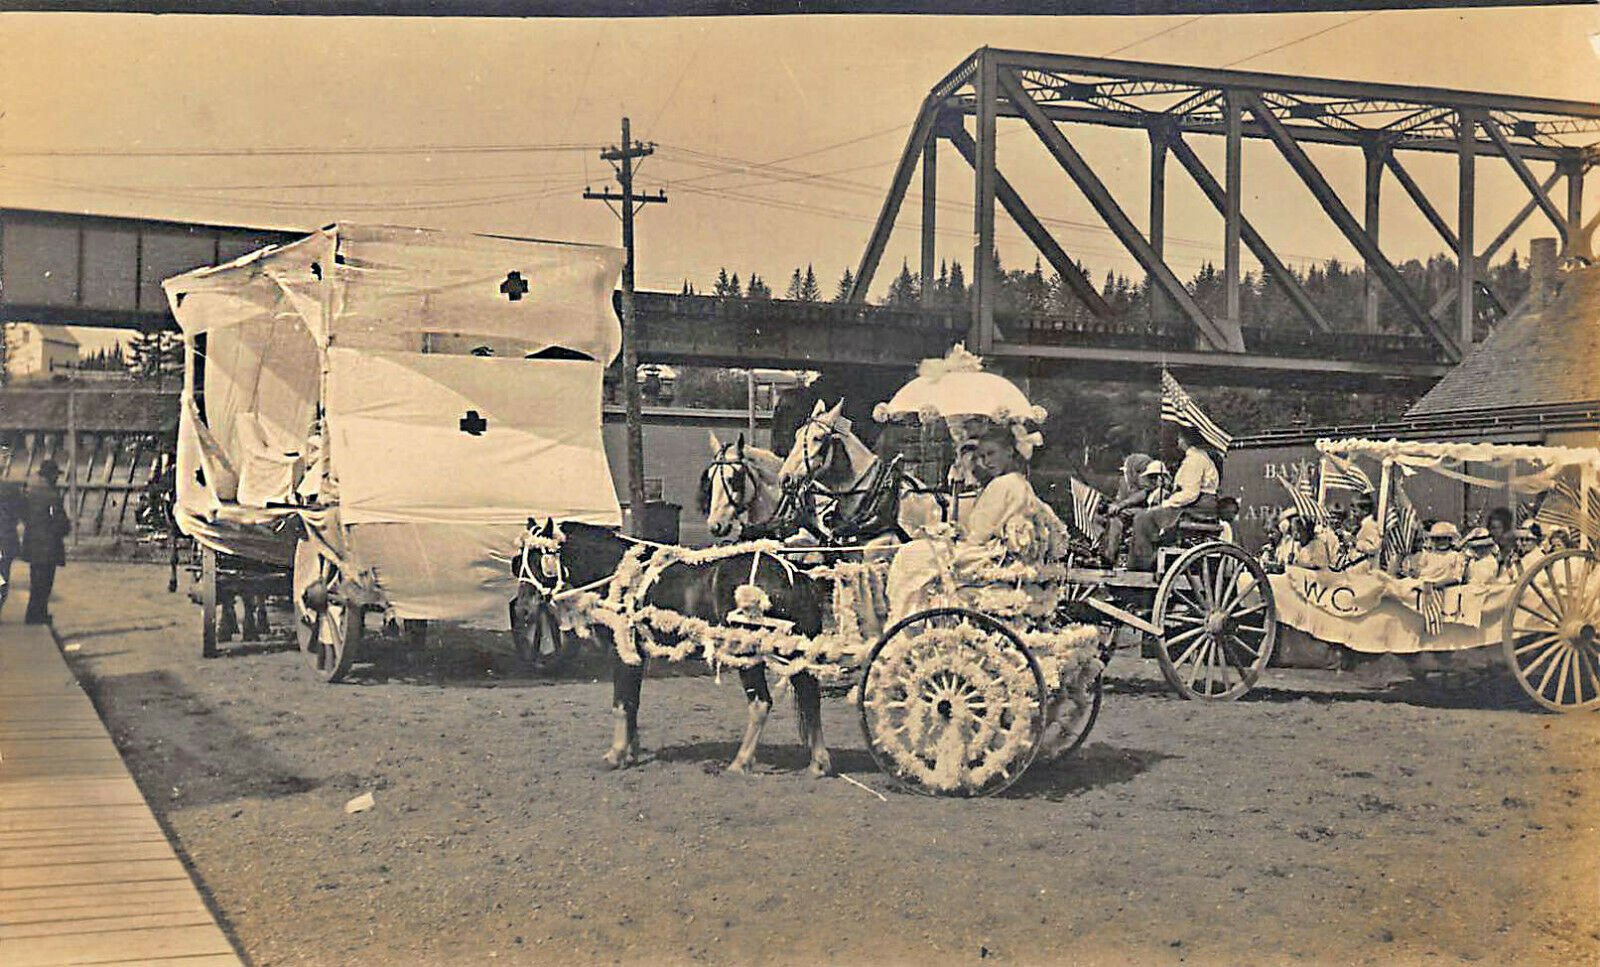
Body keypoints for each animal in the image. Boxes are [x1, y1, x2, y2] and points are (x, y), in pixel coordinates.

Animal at [508, 521, 838, 778]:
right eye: (519, 561)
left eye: (540, 557)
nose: (523, 609)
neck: (618, 574)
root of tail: (796, 577)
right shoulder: (637, 655)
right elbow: (632, 702)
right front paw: (630, 752)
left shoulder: (622, 651)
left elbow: (621, 703)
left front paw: (616, 754)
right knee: (809, 698)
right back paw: (819, 763)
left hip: (747, 655)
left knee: (761, 703)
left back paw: (741, 762)